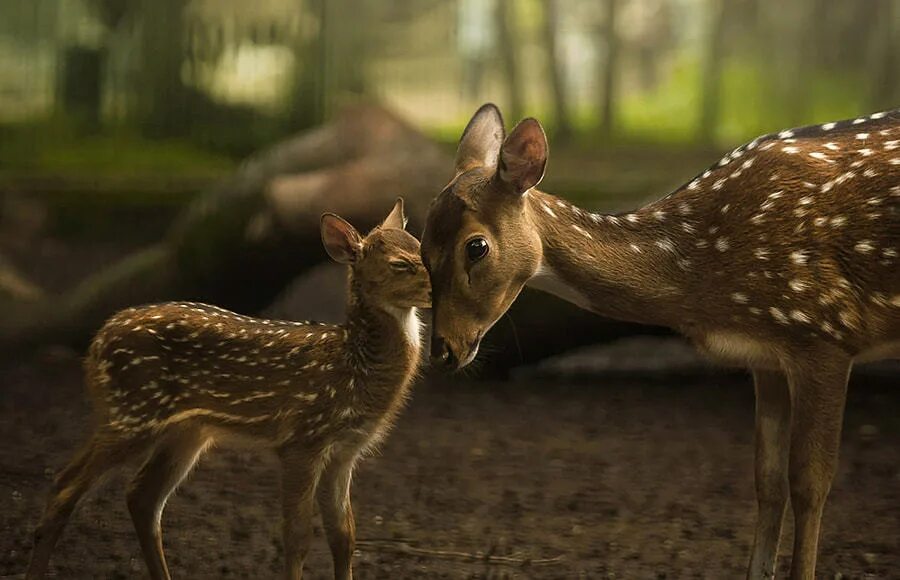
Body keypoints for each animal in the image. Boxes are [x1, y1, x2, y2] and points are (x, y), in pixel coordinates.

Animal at [424, 105, 900, 580]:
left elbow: (809, 483)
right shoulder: (766, 357)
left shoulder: (824, 329)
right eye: (422, 250)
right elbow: (767, 481)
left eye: (477, 247)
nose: (444, 350)